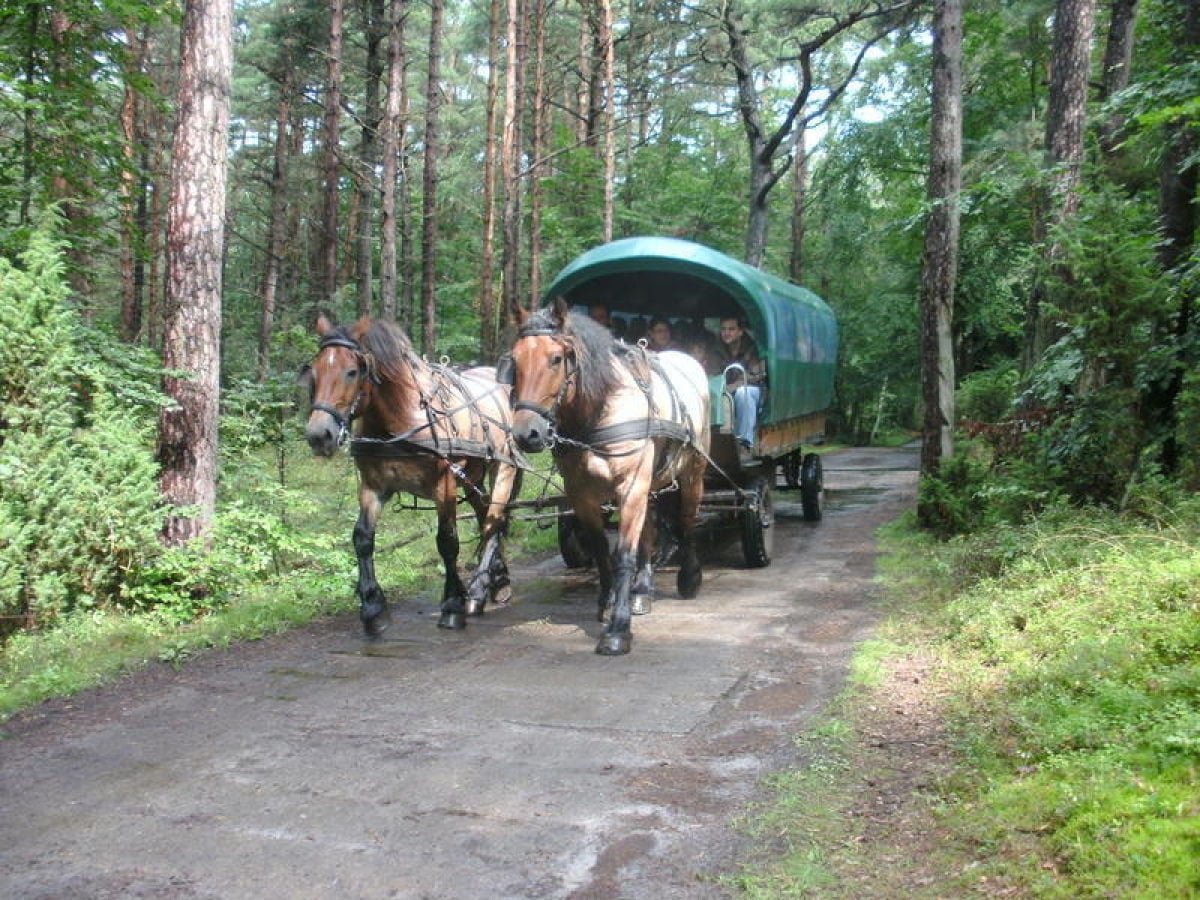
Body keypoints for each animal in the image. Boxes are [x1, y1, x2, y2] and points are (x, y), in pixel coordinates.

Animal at [304, 314, 520, 633]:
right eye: (314, 373)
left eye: (352, 372)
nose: (319, 435)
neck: (400, 419)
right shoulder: (373, 486)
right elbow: (362, 538)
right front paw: (373, 607)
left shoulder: (444, 484)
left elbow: (447, 542)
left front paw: (452, 604)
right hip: (473, 477)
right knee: (486, 518)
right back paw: (499, 581)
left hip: (503, 468)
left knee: (494, 522)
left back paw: (478, 591)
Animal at [501, 300, 705, 657]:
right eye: (515, 359)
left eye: (556, 359)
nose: (528, 433)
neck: (599, 412)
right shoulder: (582, 495)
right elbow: (600, 551)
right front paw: (609, 601)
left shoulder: (631, 486)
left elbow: (623, 554)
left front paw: (618, 629)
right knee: (650, 530)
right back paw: (642, 590)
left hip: (692, 470)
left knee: (686, 519)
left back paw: (689, 577)